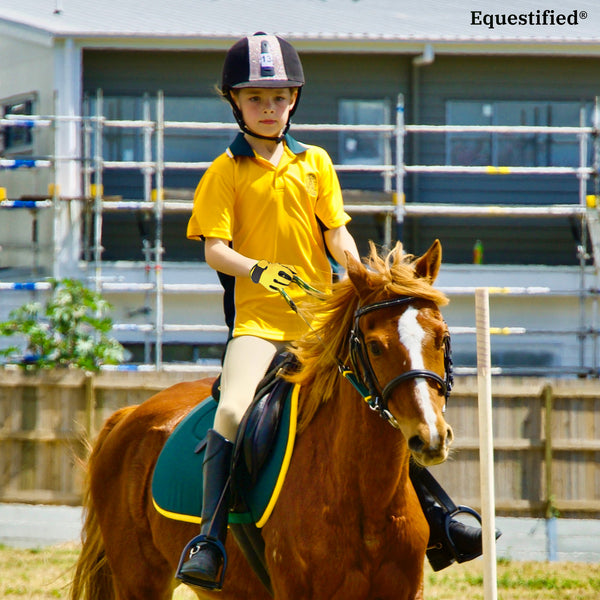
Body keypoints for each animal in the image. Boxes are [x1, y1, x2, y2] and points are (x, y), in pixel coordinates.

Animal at [70, 239, 452, 600]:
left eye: (443, 338)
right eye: (375, 346)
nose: (430, 437)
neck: (366, 501)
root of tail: (128, 415)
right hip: (139, 581)